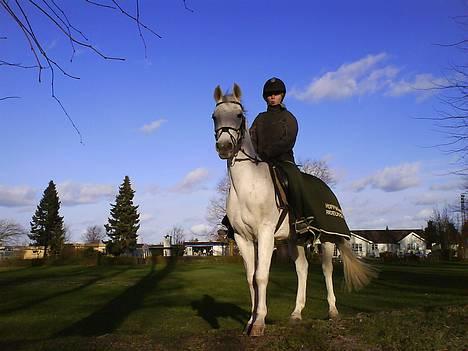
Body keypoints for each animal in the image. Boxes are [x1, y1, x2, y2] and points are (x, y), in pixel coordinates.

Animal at [212, 83, 376, 338]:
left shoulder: (265, 234)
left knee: (327, 270)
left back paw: (332, 311)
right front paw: (250, 321)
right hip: (294, 241)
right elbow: (250, 278)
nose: (224, 147)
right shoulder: (242, 238)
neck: (248, 185)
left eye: (238, 115)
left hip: (327, 240)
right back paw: (296, 313)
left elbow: (261, 276)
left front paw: (259, 322)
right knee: (303, 269)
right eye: (214, 116)